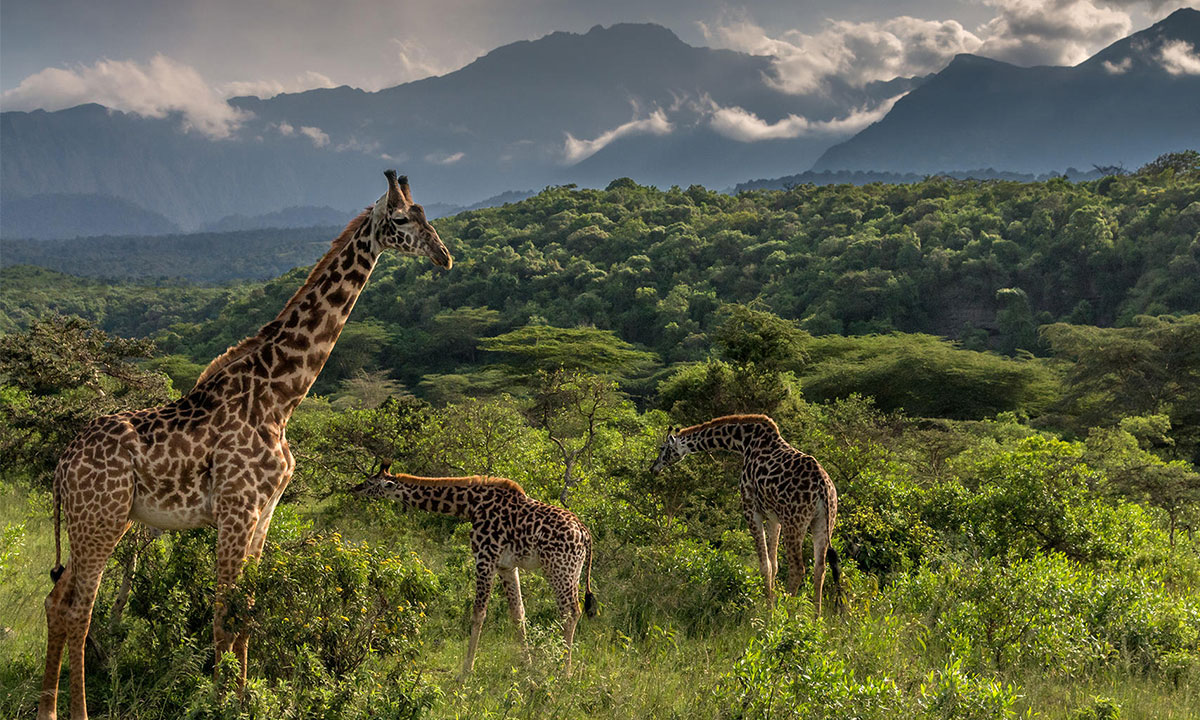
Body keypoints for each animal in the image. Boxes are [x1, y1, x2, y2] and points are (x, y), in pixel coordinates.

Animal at [42, 170, 451, 720]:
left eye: (428, 215)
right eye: (404, 219)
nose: (443, 256)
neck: (280, 395)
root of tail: (62, 465)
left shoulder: (264, 512)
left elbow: (248, 614)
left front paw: (242, 699)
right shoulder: (237, 509)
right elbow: (223, 615)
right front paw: (220, 704)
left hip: (103, 520)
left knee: (56, 601)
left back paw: (48, 707)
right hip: (100, 520)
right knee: (78, 610)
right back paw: (77, 710)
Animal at [348, 463, 595, 676]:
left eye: (370, 482)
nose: (354, 489)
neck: (471, 505)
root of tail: (585, 534)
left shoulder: (485, 558)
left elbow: (478, 614)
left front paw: (466, 671)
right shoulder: (506, 565)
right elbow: (518, 614)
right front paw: (527, 665)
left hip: (560, 569)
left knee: (570, 611)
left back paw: (564, 671)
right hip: (571, 571)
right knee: (569, 611)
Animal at [652, 415, 840, 612]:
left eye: (662, 448)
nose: (653, 468)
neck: (743, 442)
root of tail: (823, 485)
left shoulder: (751, 510)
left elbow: (765, 565)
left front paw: (768, 612)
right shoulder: (774, 518)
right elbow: (774, 564)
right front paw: (772, 604)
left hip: (794, 522)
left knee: (798, 569)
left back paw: (789, 615)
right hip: (824, 521)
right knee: (820, 568)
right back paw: (817, 618)